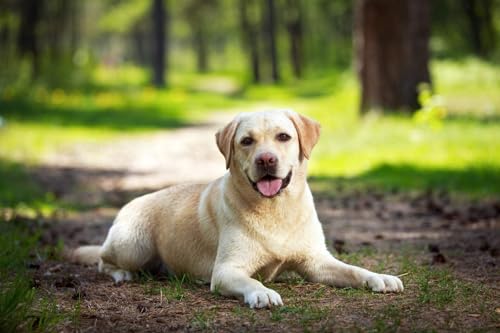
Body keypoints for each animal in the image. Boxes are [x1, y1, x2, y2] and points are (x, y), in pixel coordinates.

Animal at [72, 110, 404, 308]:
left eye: (284, 137)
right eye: (246, 141)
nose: (266, 159)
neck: (276, 210)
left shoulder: (317, 261)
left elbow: (353, 269)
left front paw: (380, 277)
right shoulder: (227, 270)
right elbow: (250, 279)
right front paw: (262, 292)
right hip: (133, 245)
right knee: (103, 260)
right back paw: (121, 274)